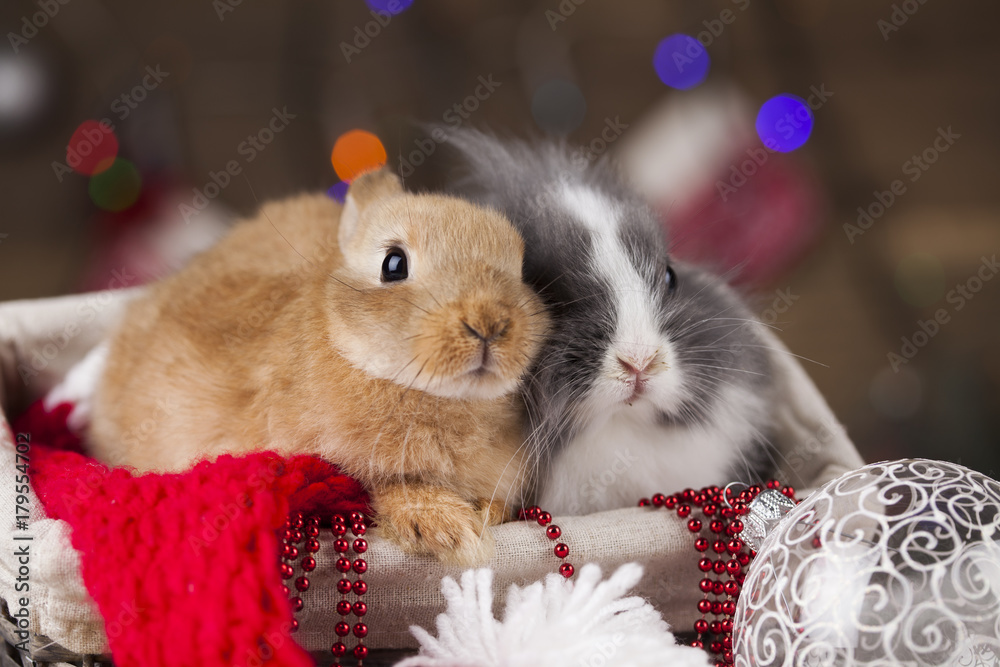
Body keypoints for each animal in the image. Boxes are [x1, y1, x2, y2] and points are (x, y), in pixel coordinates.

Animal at [88, 168, 549, 565]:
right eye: (394, 264)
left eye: (520, 270)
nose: (490, 324)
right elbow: (385, 488)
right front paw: (454, 531)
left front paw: (488, 512)